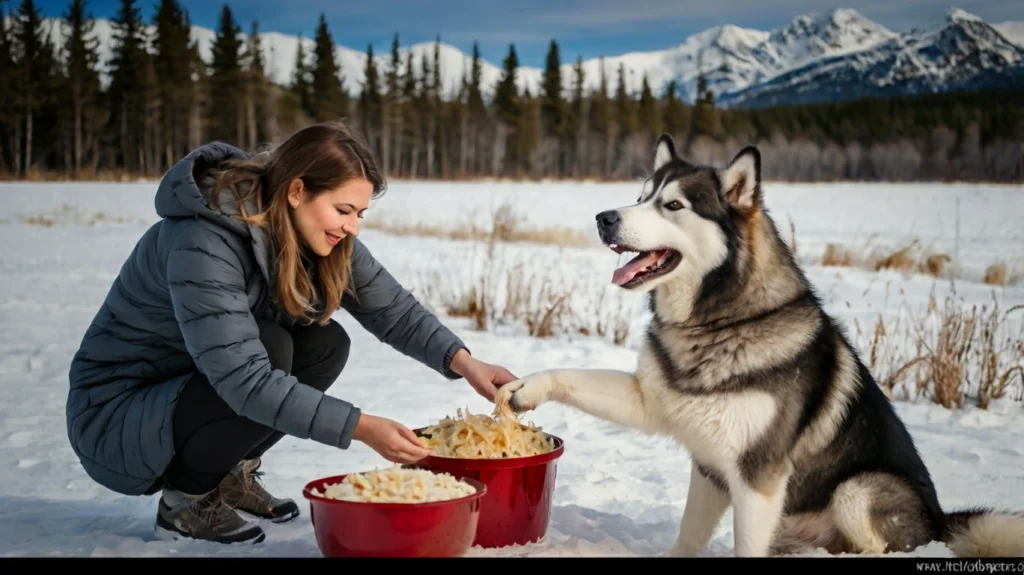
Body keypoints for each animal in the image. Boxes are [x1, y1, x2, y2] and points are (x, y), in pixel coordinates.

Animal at [491, 134, 1019, 556]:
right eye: (640, 197)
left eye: (673, 206)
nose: (603, 217)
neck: (722, 321)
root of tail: (940, 520)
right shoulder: (682, 435)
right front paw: (525, 389)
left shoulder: (759, 479)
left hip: (857, 490)